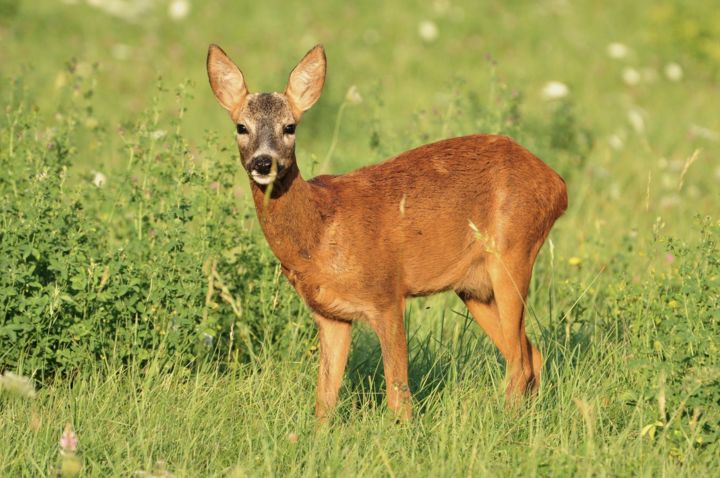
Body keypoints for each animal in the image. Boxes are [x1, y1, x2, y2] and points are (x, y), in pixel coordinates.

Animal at [207, 43, 568, 420]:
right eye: (241, 126)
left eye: (290, 126)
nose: (264, 162)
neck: (320, 230)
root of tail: (558, 184)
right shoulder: (330, 315)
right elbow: (325, 398)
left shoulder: (386, 292)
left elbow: (398, 393)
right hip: (474, 287)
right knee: (529, 353)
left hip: (513, 252)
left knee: (520, 361)